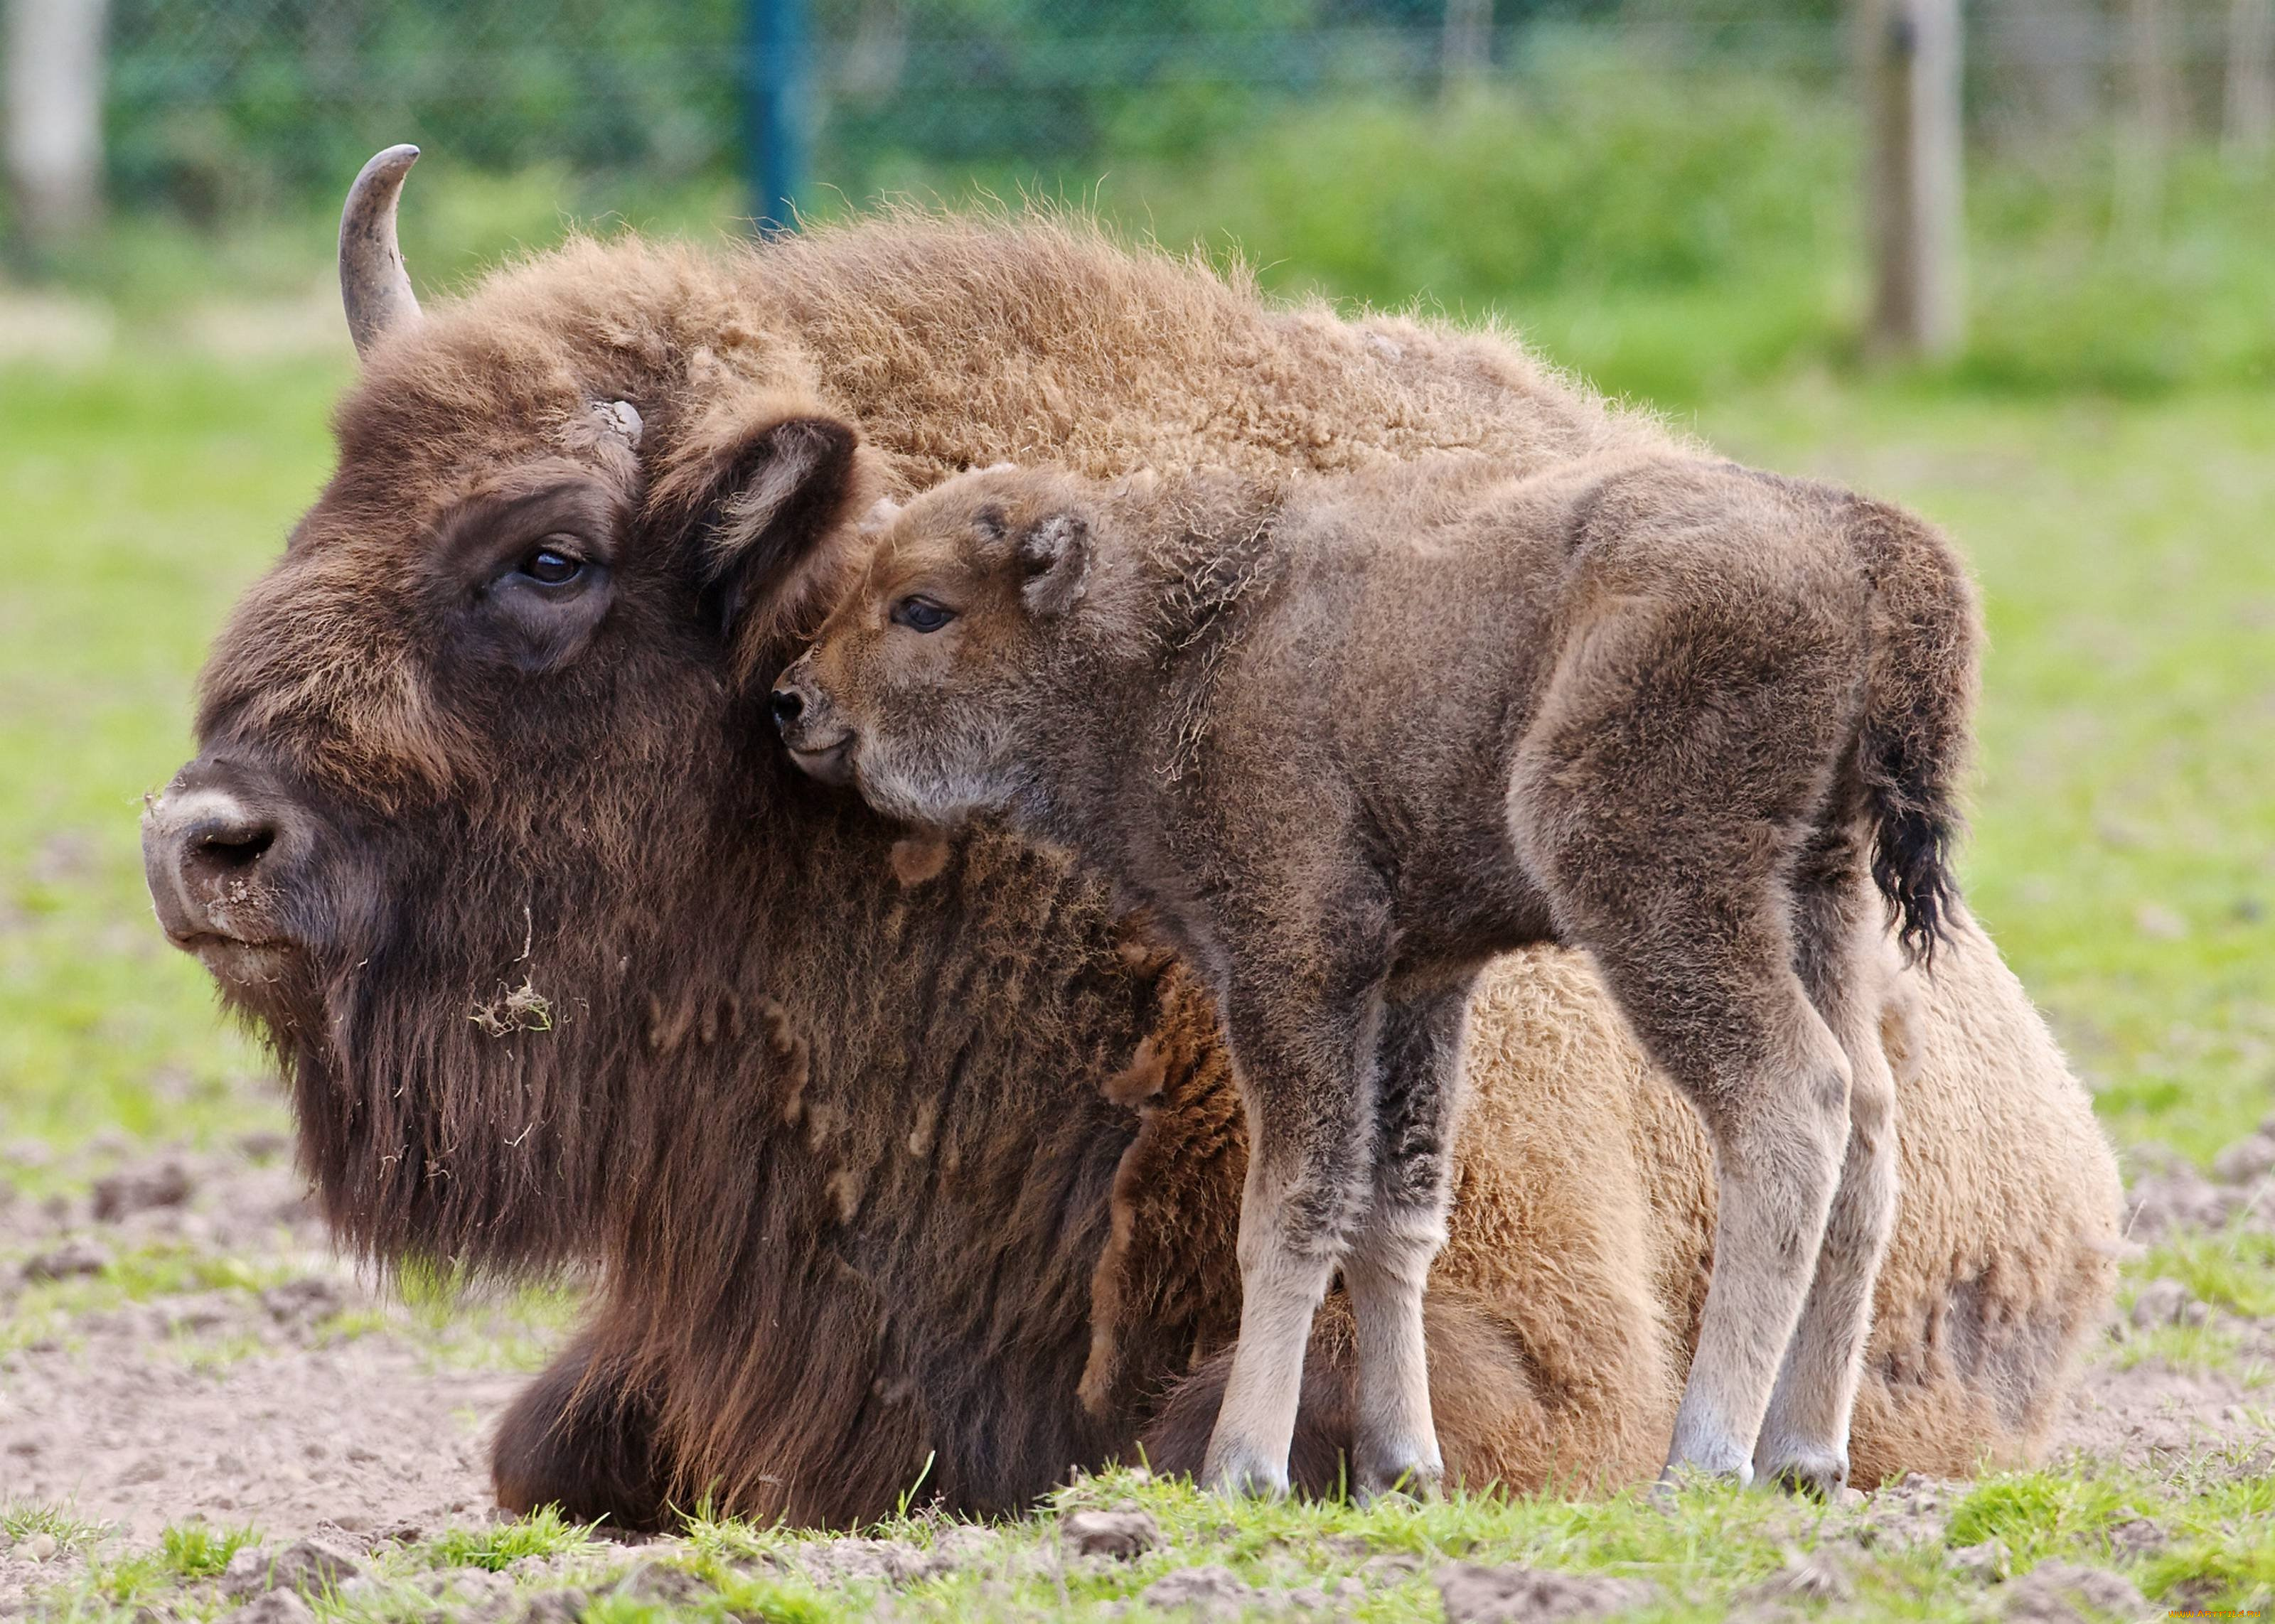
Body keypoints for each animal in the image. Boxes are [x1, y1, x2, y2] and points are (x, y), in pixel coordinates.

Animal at [764, 446, 1974, 1492]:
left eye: (922, 606)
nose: (791, 701)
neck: (1181, 647)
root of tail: (1852, 540)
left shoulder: (1293, 970)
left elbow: (1292, 1208)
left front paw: (1242, 1466)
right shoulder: (1416, 986)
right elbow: (1398, 1213)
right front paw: (1404, 1465)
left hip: (1658, 896)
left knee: (1791, 1104)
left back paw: (1704, 1460)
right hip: (1817, 900)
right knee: (1871, 1125)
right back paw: (1806, 1457)